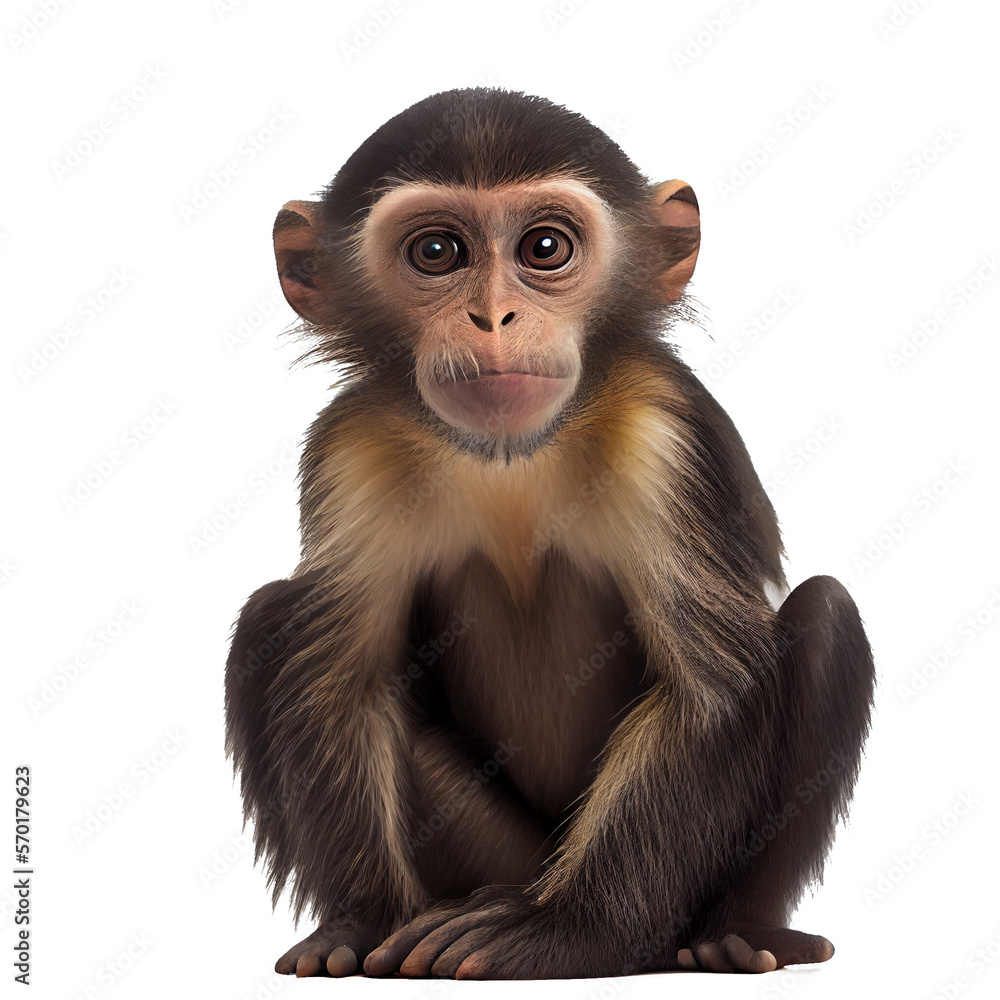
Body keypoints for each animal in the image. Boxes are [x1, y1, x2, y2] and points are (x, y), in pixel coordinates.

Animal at [224, 87, 874, 980]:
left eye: (544, 248)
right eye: (437, 252)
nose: (493, 316)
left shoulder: (660, 432)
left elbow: (710, 686)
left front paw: (569, 933)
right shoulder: (351, 447)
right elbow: (335, 684)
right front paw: (357, 925)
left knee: (824, 615)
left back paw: (732, 931)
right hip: (493, 858)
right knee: (268, 617)